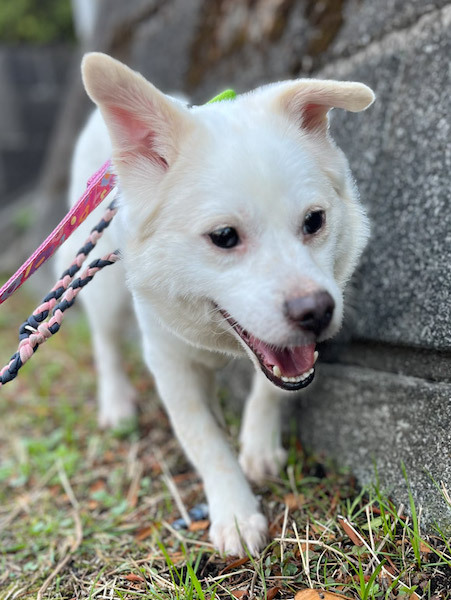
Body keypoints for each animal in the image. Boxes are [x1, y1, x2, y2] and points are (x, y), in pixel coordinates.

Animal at [55, 53, 374, 556]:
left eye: (314, 221)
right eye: (224, 236)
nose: (317, 312)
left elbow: (272, 387)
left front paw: (258, 446)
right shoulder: (170, 363)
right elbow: (203, 440)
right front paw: (236, 512)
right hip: (103, 292)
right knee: (105, 343)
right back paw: (117, 403)